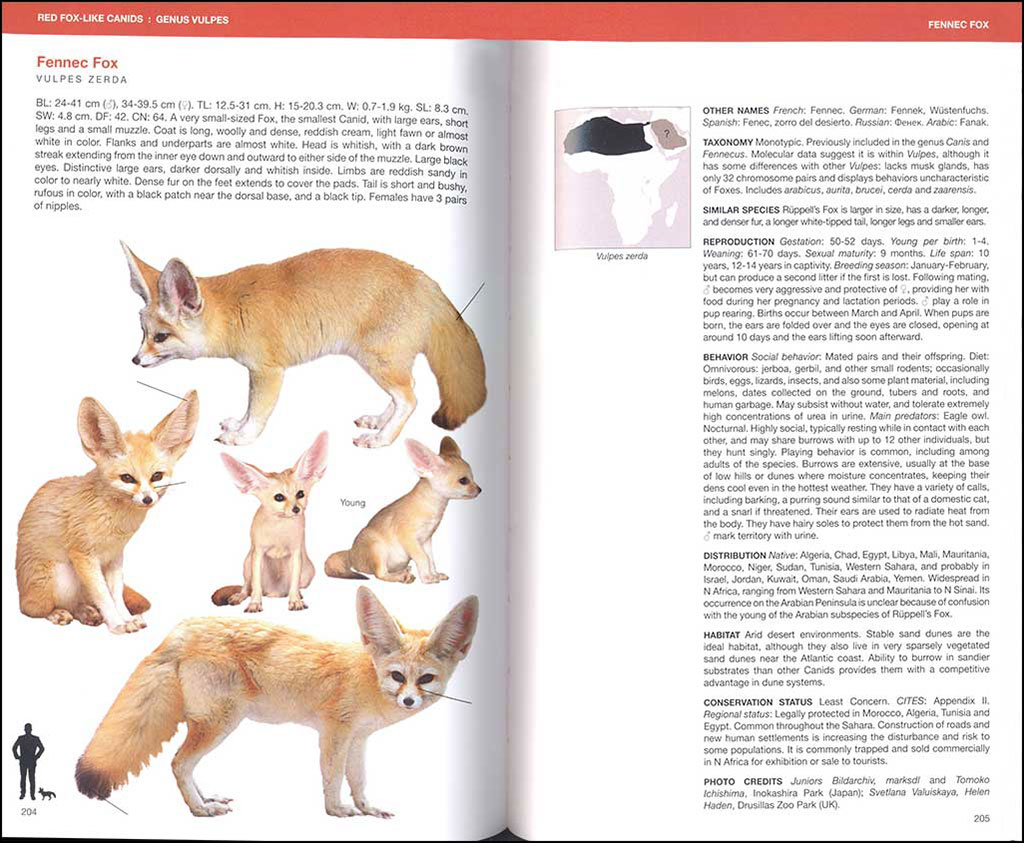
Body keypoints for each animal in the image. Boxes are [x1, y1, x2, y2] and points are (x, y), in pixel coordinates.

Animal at [15, 391, 199, 633]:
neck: (116, 522)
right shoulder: (83, 555)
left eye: (156, 476)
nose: (147, 499)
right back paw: (58, 613)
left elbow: (116, 594)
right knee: (32, 609)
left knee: (77, 603)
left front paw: (127, 618)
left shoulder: (115, 556)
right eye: (127, 478)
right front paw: (117, 624)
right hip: (59, 576)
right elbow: (103, 596)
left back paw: (86, 613)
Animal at [76, 587, 479, 819]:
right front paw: (336, 811)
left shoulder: (358, 739)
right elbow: (333, 777)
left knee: (183, 766)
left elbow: (359, 779)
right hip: (221, 724)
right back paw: (199, 809)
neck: (367, 675)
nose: (409, 700)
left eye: (425, 680)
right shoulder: (334, 734)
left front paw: (367, 808)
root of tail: (182, 628)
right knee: (178, 763)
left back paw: (206, 799)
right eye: (397, 676)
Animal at [122, 243, 486, 448]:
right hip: (380, 362)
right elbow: (248, 407)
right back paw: (379, 422)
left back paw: (382, 439)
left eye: (160, 337)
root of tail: (426, 280)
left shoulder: (268, 371)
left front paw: (244, 436)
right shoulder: (257, 372)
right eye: (142, 333)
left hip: (378, 362)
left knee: (410, 399)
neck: (234, 308)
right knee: (404, 395)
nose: (135, 360)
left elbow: (258, 411)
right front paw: (238, 425)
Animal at [210, 432, 328, 612]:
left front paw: (295, 600)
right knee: (247, 586)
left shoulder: (296, 553)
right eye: (279, 497)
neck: (279, 528)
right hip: (247, 563)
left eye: (300, 494)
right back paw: (240, 596)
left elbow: (294, 581)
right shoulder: (258, 553)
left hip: (309, 570)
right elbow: (256, 585)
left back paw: (298, 594)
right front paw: (254, 603)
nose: (296, 509)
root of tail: (274, 593)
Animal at [325, 436, 481, 584]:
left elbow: (431, 560)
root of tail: (351, 553)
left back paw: (404, 572)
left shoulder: (426, 540)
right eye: (464, 481)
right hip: (377, 548)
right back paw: (401, 577)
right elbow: (423, 558)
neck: (431, 507)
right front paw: (427, 578)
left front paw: (434, 574)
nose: (480, 490)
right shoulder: (408, 537)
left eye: (473, 478)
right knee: (380, 574)